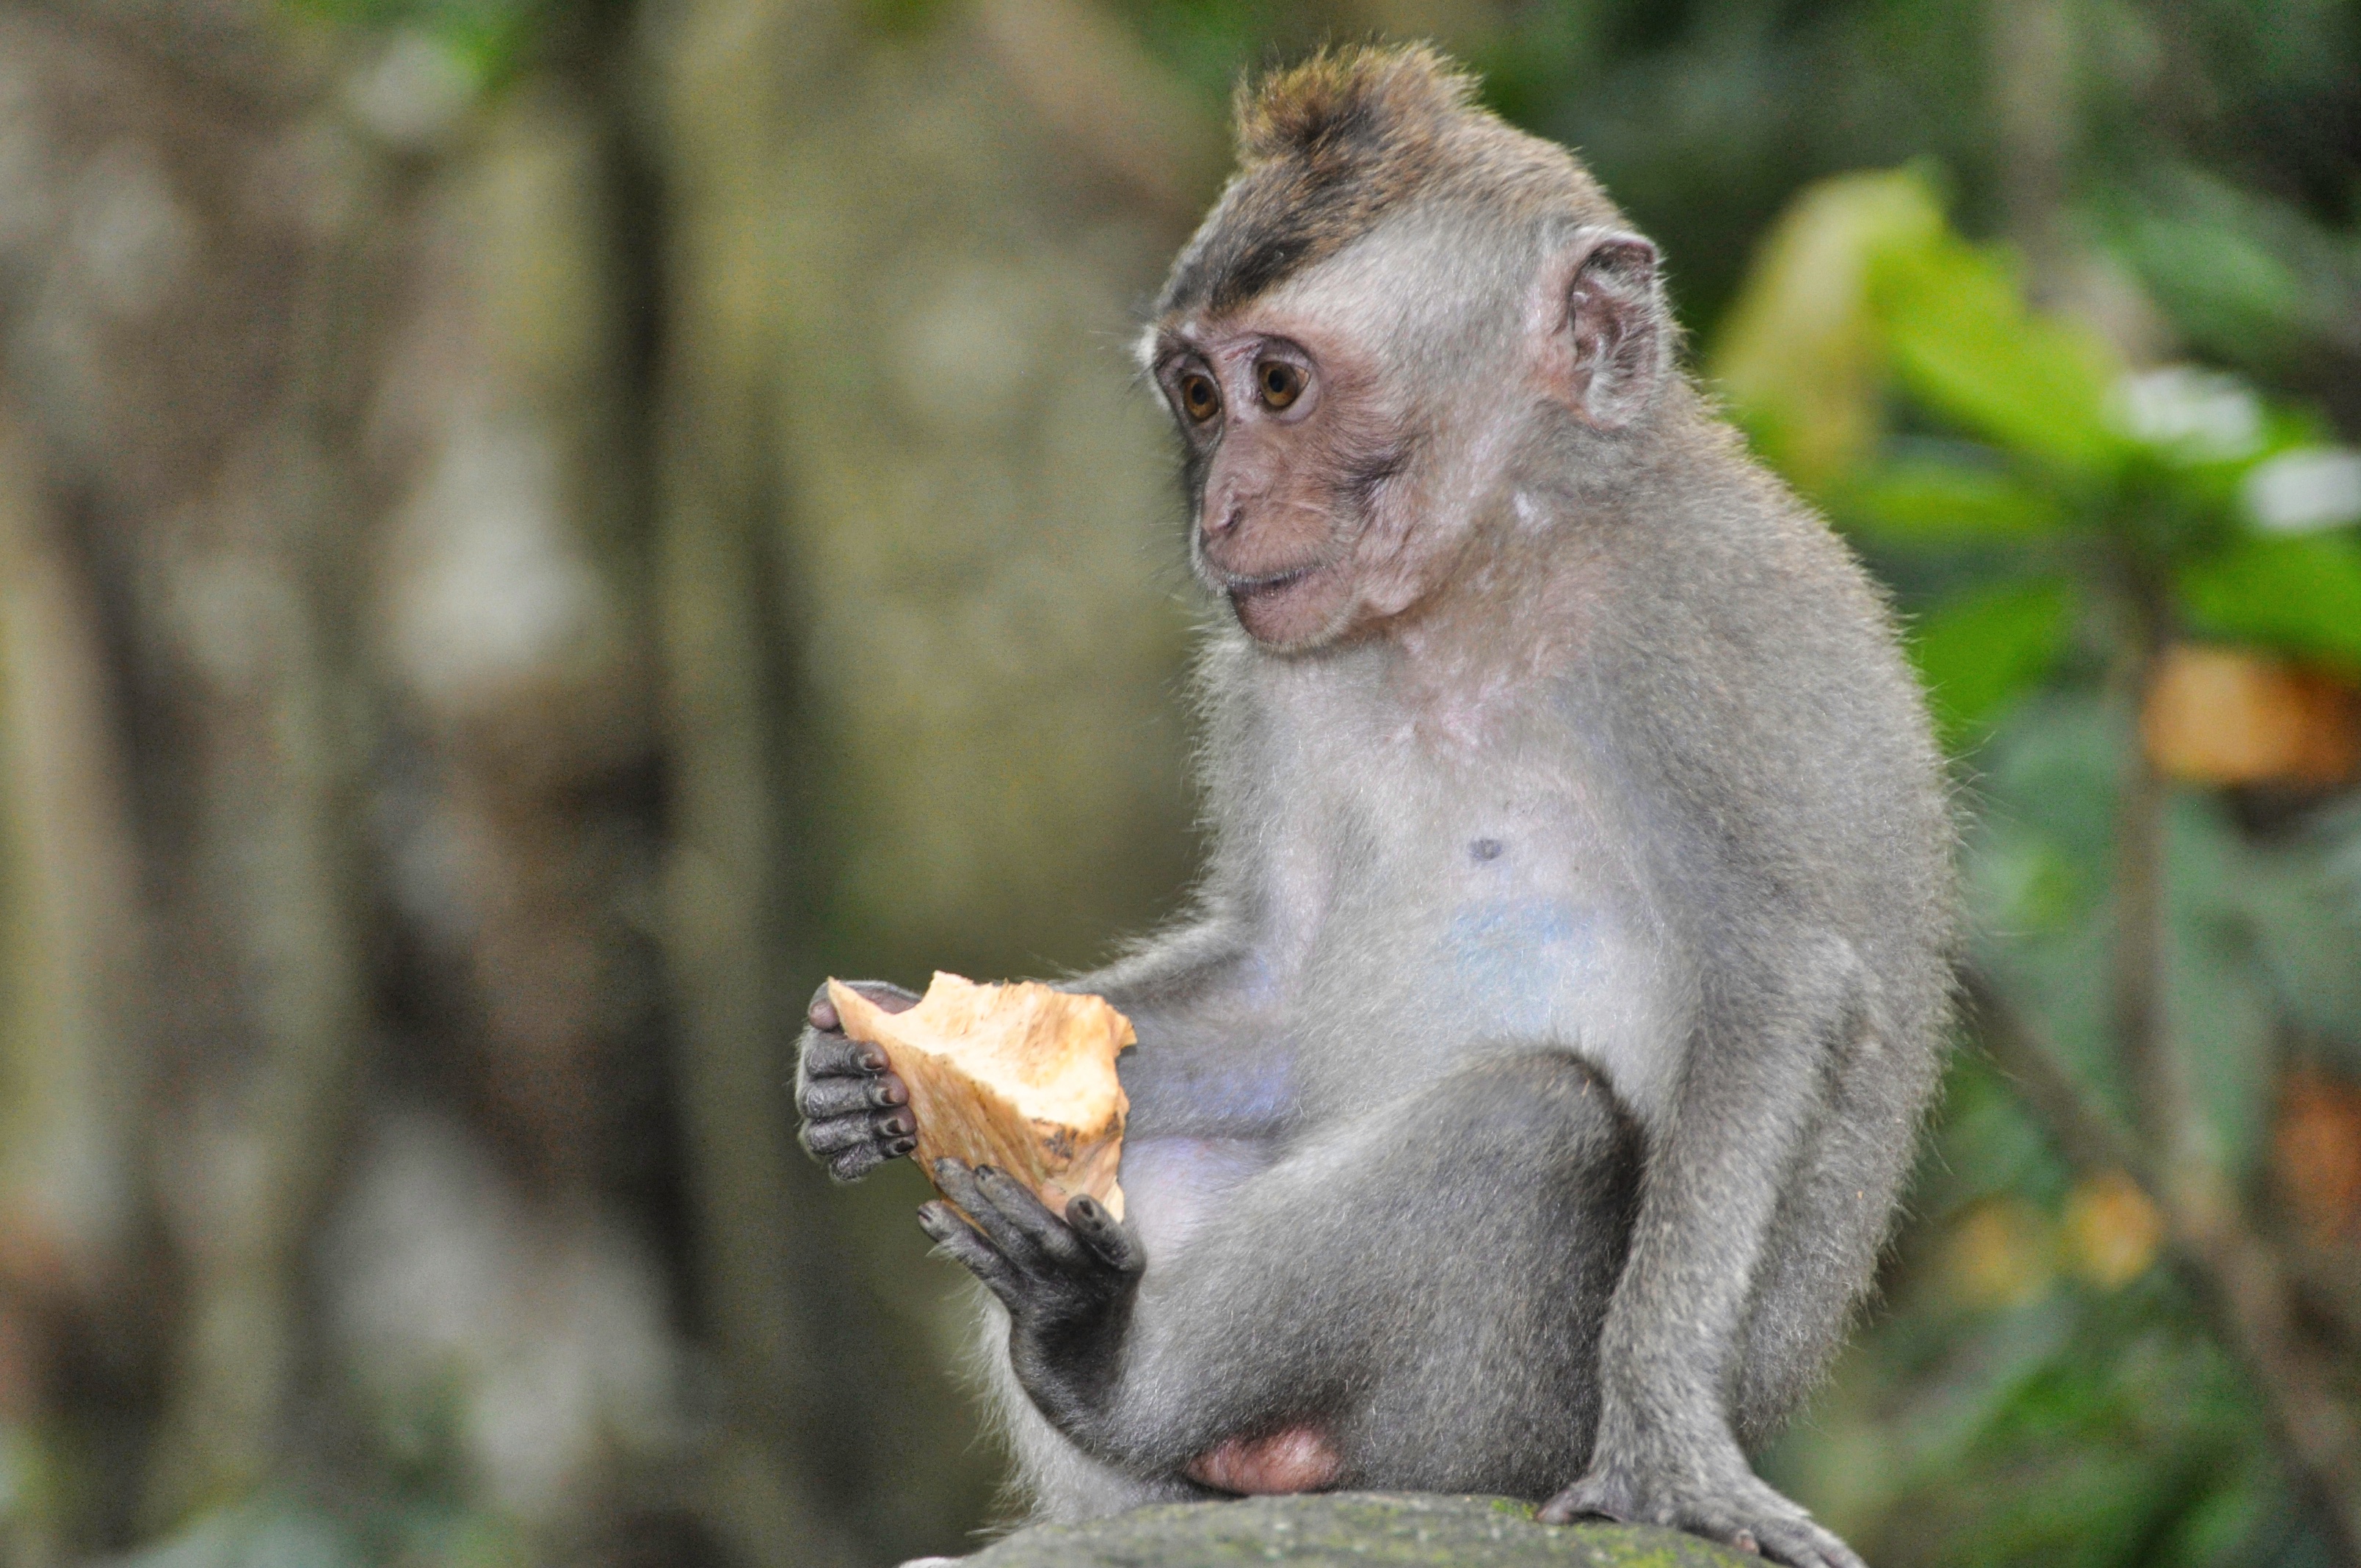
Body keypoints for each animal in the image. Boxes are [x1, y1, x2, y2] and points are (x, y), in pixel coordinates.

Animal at [793, 46, 1954, 1568]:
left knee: (1529, 1122)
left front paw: (1665, 1446)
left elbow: (1777, 986)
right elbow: (1278, 995)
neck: (1467, 591)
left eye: (1280, 384)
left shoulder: (1692, 633)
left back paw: (1101, 1364)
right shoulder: (1266, 676)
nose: (1221, 512)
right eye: (1199, 398)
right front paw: (868, 1058)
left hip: (1485, 1424)